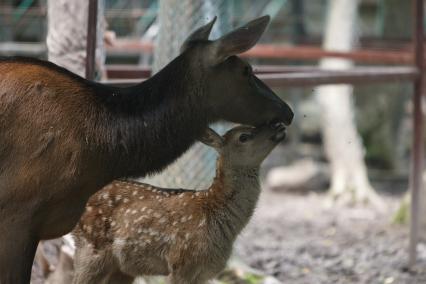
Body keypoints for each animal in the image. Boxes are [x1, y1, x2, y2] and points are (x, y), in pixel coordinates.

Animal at [73, 125, 286, 284]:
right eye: (244, 136)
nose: (279, 125)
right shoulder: (181, 264)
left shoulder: (203, 273)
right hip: (91, 248)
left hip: (122, 267)